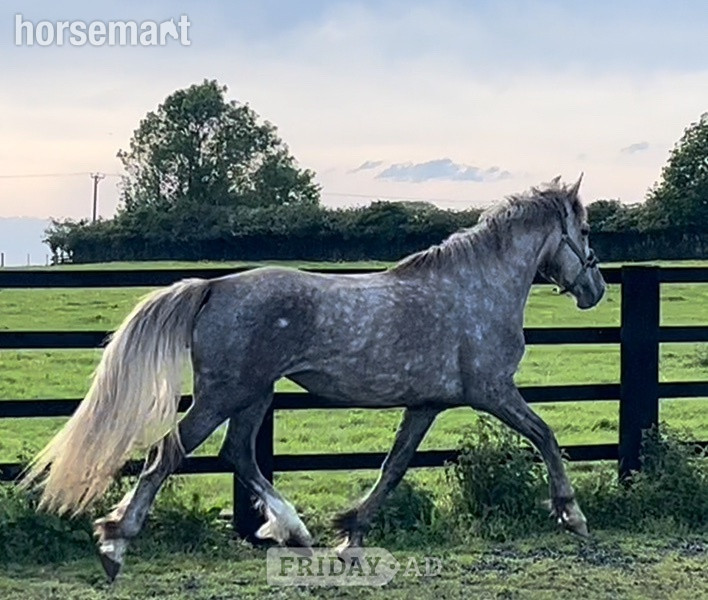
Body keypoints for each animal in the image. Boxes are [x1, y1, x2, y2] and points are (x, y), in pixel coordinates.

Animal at [21, 175, 605, 580]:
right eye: (584, 231)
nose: (595, 289)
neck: (476, 288)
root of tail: (213, 287)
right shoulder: (492, 391)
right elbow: (546, 435)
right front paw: (572, 514)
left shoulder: (427, 404)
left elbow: (394, 466)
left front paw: (350, 534)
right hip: (225, 394)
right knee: (170, 452)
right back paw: (115, 544)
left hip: (254, 394)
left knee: (238, 454)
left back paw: (294, 531)